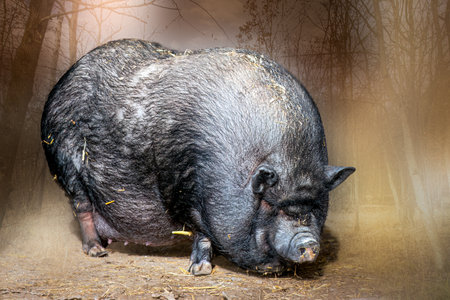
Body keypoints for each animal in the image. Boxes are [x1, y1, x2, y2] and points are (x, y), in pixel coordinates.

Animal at [40, 38, 354, 276]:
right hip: (65, 164)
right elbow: (202, 234)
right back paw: (97, 251)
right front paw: (200, 271)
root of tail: (61, 81)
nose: (308, 242)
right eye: (269, 203)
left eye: (316, 203)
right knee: (82, 207)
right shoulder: (186, 191)